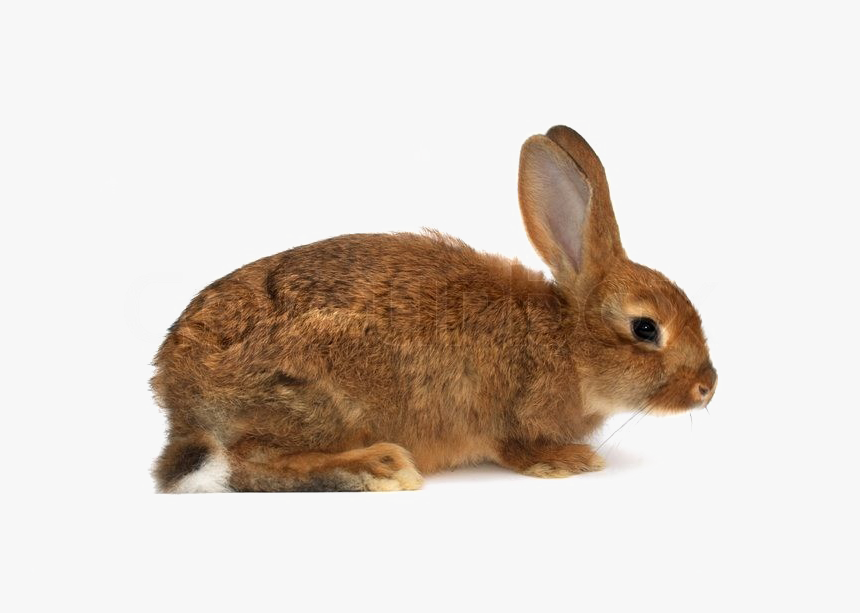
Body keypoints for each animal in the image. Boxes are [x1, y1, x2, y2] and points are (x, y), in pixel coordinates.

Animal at [150, 125, 717, 493]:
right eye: (645, 328)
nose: (707, 387)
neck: (568, 342)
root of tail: (174, 388)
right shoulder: (513, 416)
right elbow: (517, 448)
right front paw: (569, 462)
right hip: (313, 402)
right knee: (249, 463)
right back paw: (379, 468)